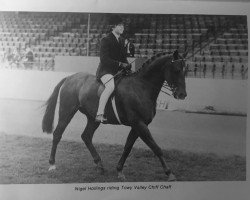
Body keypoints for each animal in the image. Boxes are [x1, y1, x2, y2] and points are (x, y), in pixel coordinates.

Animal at [42, 50, 188, 181]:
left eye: (185, 71)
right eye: (176, 70)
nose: (182, 94)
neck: (141, 87)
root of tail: (70, 77)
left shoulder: (138, 126)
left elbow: (128, 147)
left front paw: (119, 170)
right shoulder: (139, 124)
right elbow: (156, 148)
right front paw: (170, 173)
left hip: (93, 118)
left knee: (86, 136)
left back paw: (99, 165)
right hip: (66, 112)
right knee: (57, 134)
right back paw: (52, 164)